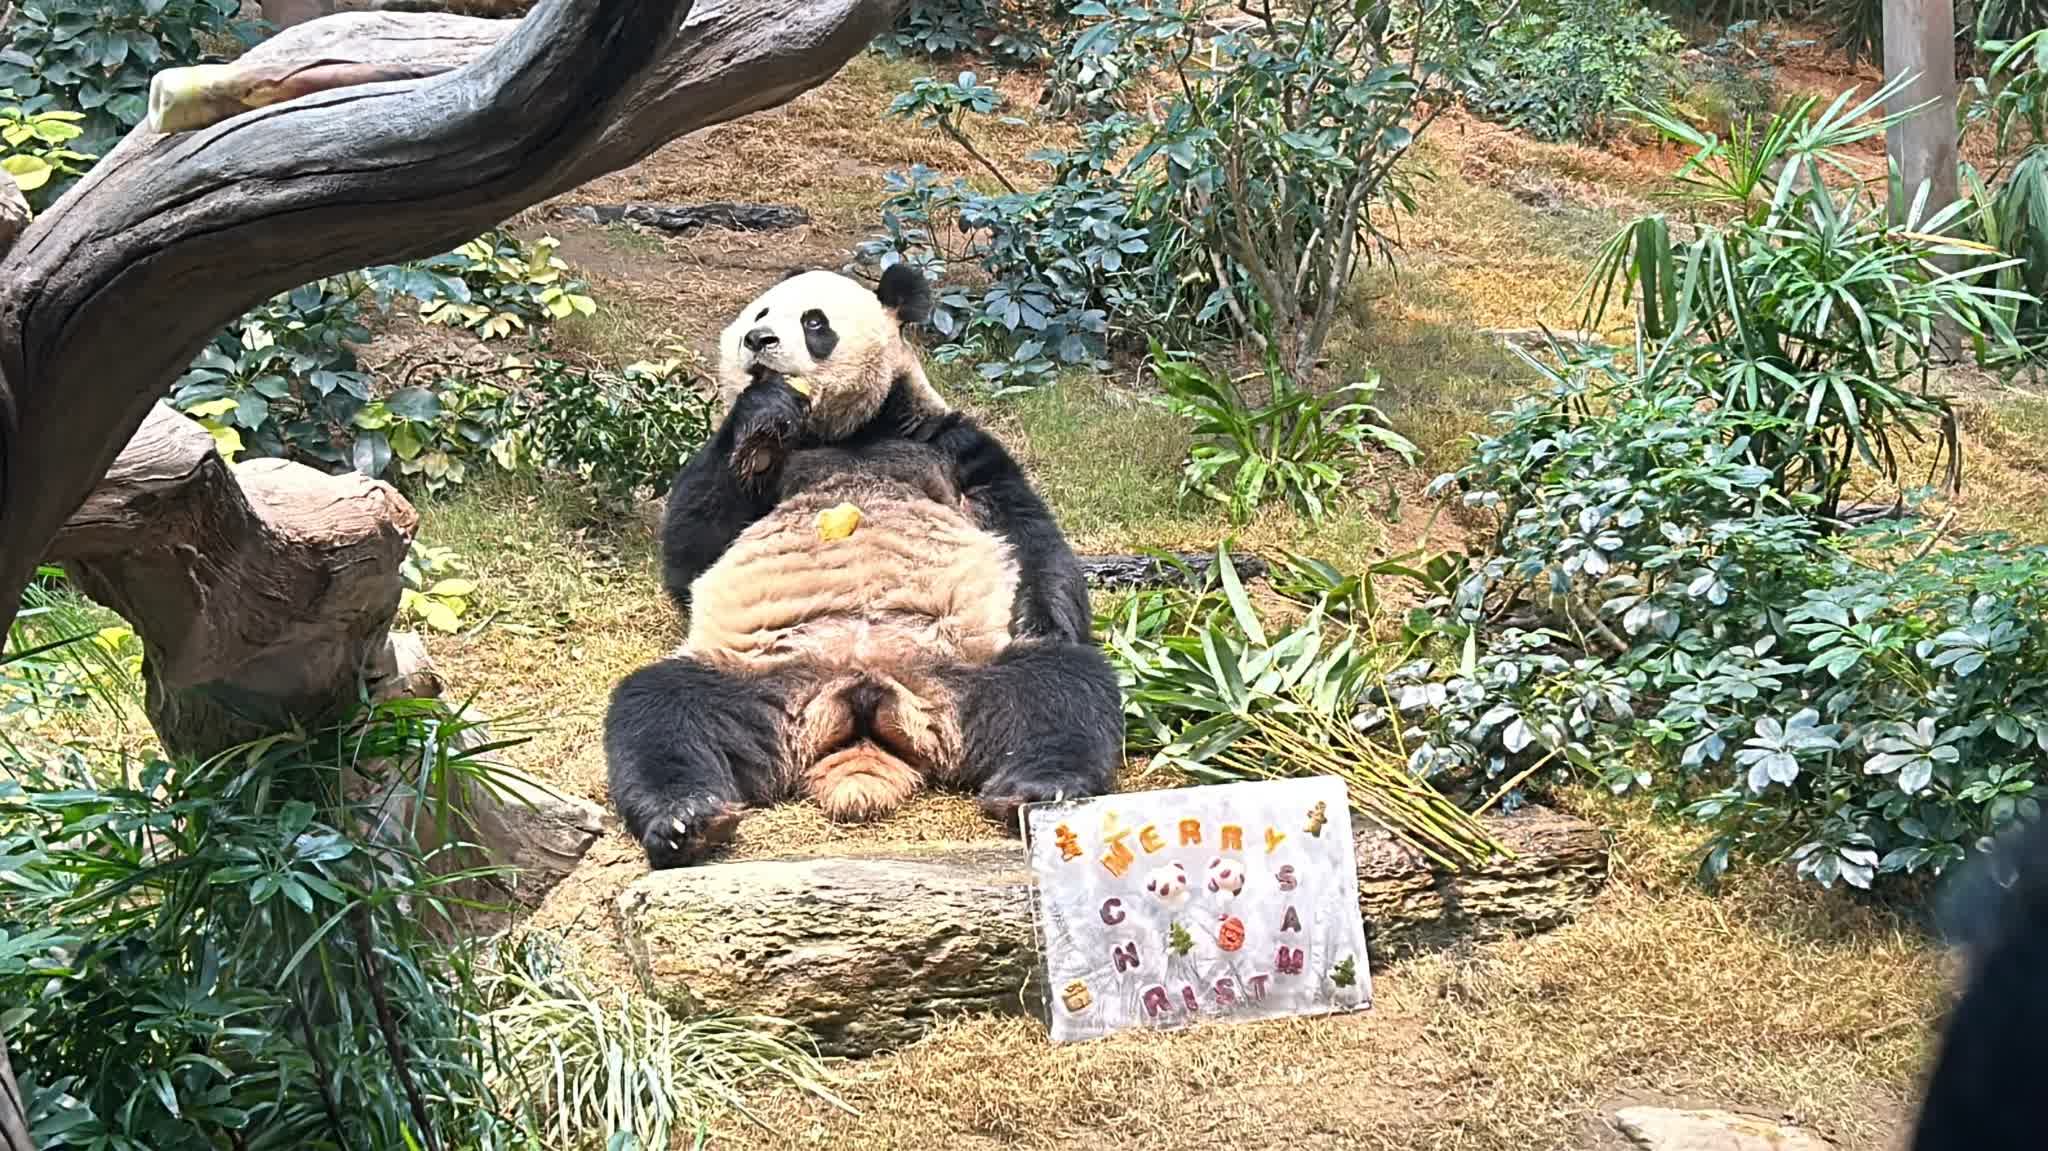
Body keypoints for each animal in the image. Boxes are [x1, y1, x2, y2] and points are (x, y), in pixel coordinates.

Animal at [598, 264, 1130, 864]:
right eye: (760, 314)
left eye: (814, 322)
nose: (758, 342)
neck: (848, 432)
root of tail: (861, 700)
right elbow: (693, 550)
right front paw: (762, 408)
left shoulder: (950, 443)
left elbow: (1028, 536)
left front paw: (1044, 618)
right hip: (752, 678)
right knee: (659, 708)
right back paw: (686, 818)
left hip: (965, 669)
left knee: (1060, 688)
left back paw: (1036, 789)